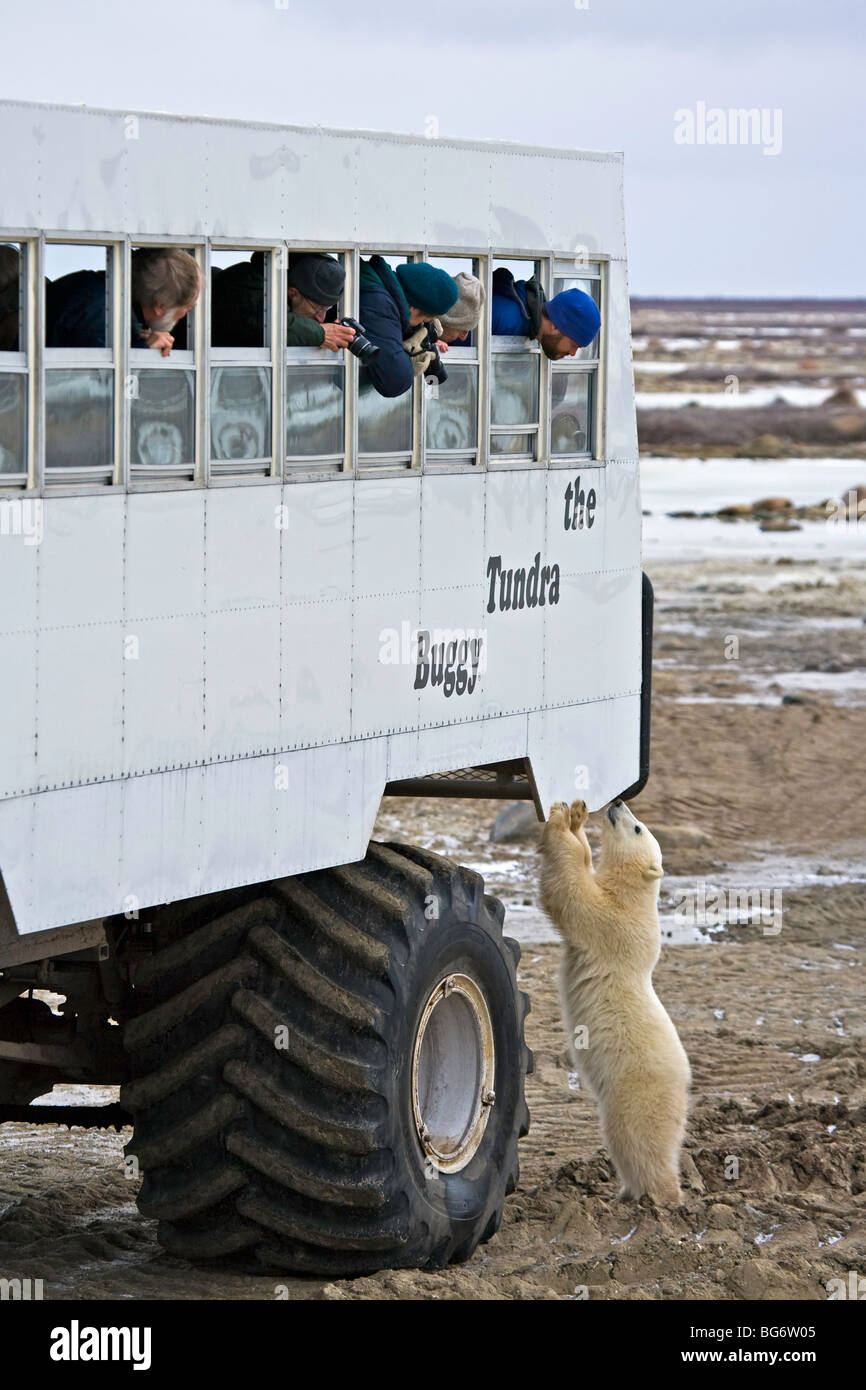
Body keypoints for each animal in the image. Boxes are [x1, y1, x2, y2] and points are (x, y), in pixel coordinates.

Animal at [539, 800, 695, 1200]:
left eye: (638, 828)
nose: (618, 802)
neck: (635, 893)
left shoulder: (615, 923)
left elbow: (573, 897)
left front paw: (559, 821)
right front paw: (575, 816)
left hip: (636, 1093)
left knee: (635, 1141)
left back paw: (652, 1196)